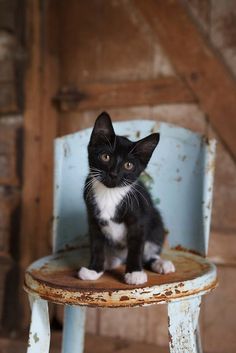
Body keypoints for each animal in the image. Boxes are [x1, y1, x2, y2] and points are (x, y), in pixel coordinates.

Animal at [78, 111, 175, 284]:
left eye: (128, 165)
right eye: (105, 157)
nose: (113, 174)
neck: (110, 194)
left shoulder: (139, 218)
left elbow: (136, 247)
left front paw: (134, 273)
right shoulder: (93, 219)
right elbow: (96, 245)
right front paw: (94, 269)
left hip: (156, 222)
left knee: (149, 254)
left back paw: (161, 263)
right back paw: (110, 261)